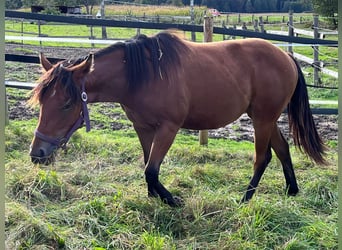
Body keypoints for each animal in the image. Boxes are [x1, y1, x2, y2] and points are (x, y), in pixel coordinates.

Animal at [28, 30, 326, 206]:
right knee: (282, 148)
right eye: (42, 101)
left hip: (262, 119)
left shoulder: (168, 128)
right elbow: (147, 166)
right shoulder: (143, 127)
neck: (142, 74)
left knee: (262, 157)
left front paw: (171, 200)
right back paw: (291, 190)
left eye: (67, 103)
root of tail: (286, 55)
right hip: (264, 117)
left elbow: (151, 169)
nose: (37, 153)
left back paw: (245, 198)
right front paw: (154, 199)